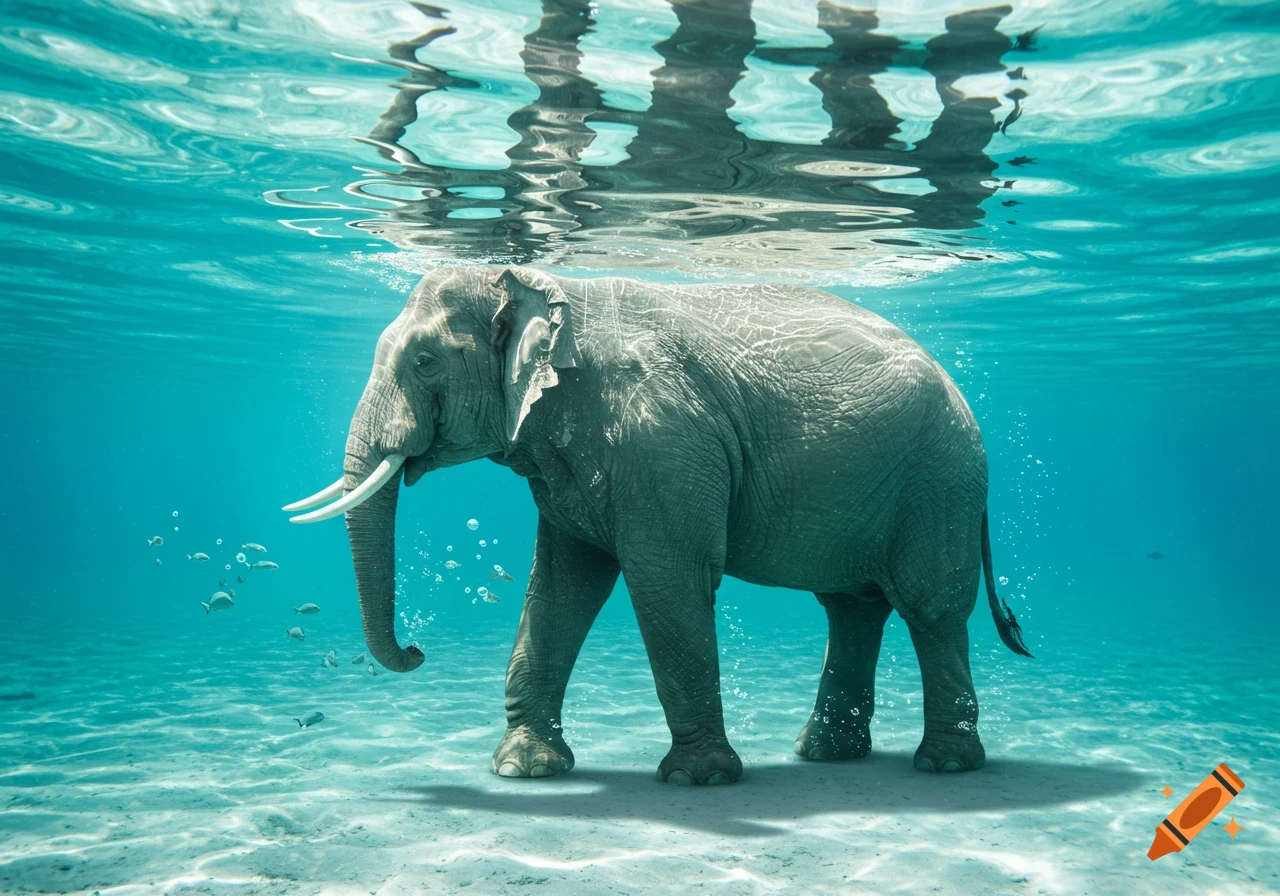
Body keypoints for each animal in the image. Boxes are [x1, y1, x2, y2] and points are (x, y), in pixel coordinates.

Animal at [284, 265, 1032, 784]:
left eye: (424, 361)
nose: (416, 651)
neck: (545, 283)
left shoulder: (659, 439)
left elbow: (666, 581)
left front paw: (699, 780)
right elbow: (561, 588)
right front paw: (524, 770)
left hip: (940, 482)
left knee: (931, 608)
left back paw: (945, 766)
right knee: (852, 608)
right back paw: (823, 756)